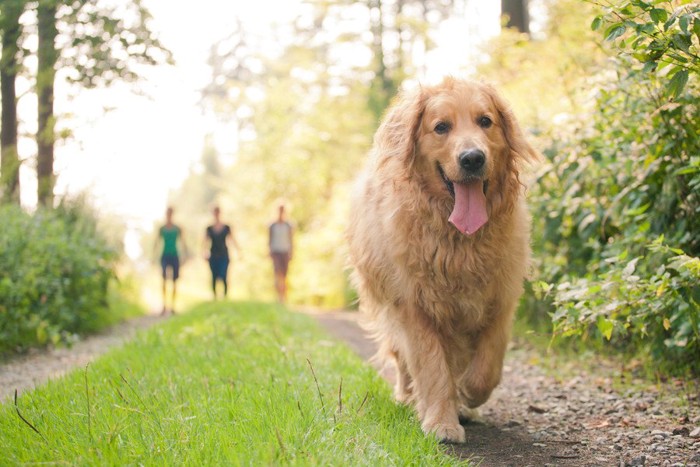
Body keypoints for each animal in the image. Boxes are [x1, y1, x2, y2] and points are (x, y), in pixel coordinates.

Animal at [348, 77, 540, 442]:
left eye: (485, 121)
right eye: (441, 127)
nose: (472, 159)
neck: (460, 241)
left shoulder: (499, 299)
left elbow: (487, 366)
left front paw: (467, 396)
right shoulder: (416, 306)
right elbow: (433, 367)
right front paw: (441, 422)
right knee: (403, 360)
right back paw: (408, 396)